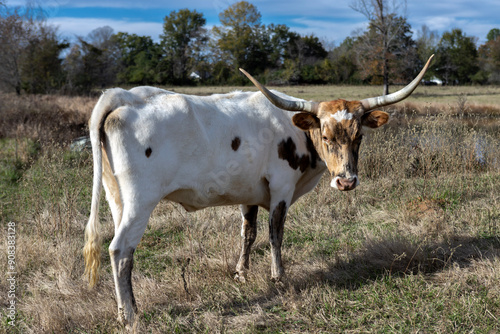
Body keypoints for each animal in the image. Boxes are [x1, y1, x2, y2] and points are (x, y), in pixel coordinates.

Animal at [83, 55, 434, 326]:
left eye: (359, 135)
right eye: (325, 134)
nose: (346, 181)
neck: (295, 130)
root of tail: (123, 96)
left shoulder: (249, 193)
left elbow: (248, 233)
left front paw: (241, 274)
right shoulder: (281, 187)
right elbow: (275, 234)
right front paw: (278, 277)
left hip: (118, 199)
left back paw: (123, 310)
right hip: (140, 200)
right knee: (121, 250)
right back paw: (130, 315)